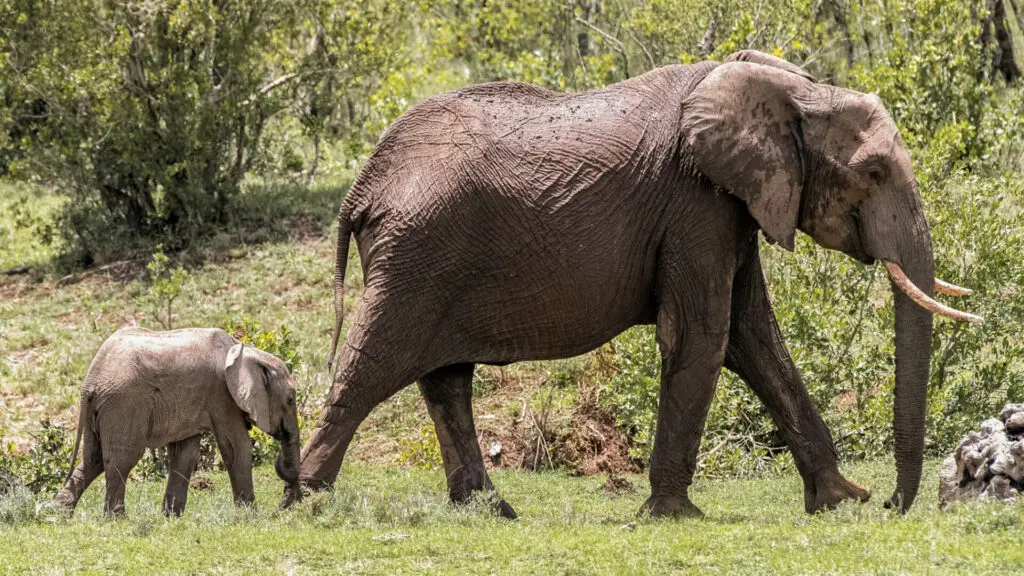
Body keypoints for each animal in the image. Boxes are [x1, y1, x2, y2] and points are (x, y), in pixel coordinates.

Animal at [55, 327, 301, 516]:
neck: (245, 350)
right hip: (124, 405)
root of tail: (90, 383)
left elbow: (186, 454)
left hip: (102, 409)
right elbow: (236, 447)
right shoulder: (221, 395)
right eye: (290, 399)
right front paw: (250, 515)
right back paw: (116, 519)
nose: (283, 507)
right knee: (122, 459)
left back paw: (58, 513)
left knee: (93, 459)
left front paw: (171, 517)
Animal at [293, 50, 980, 517]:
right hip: (415, 256)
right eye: (874, 171)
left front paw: (839, 501)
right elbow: (705, 336)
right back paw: (305, 502)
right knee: (373, 366)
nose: (891, 505)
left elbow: (754, 340)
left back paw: (492, 513)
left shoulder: (733, 205)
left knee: (445, 381)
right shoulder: (696, 202)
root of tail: (363, 184)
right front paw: (676, 516)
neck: (796, 90)